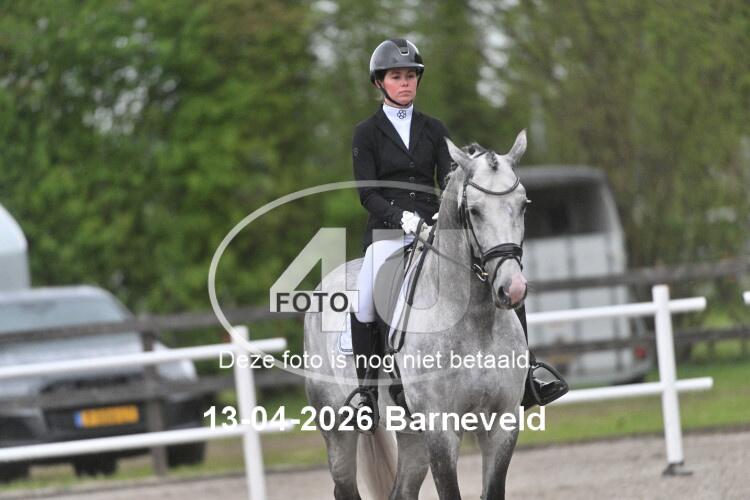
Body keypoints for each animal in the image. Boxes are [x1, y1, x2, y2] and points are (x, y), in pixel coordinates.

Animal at [304, 130, 530, 500]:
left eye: (524, 204)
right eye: (474, 211)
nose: (513, 289)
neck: (473, 320)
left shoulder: (501, 423)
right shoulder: (440, 430)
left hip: (410, 434)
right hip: (337, 428)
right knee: (344, 486)